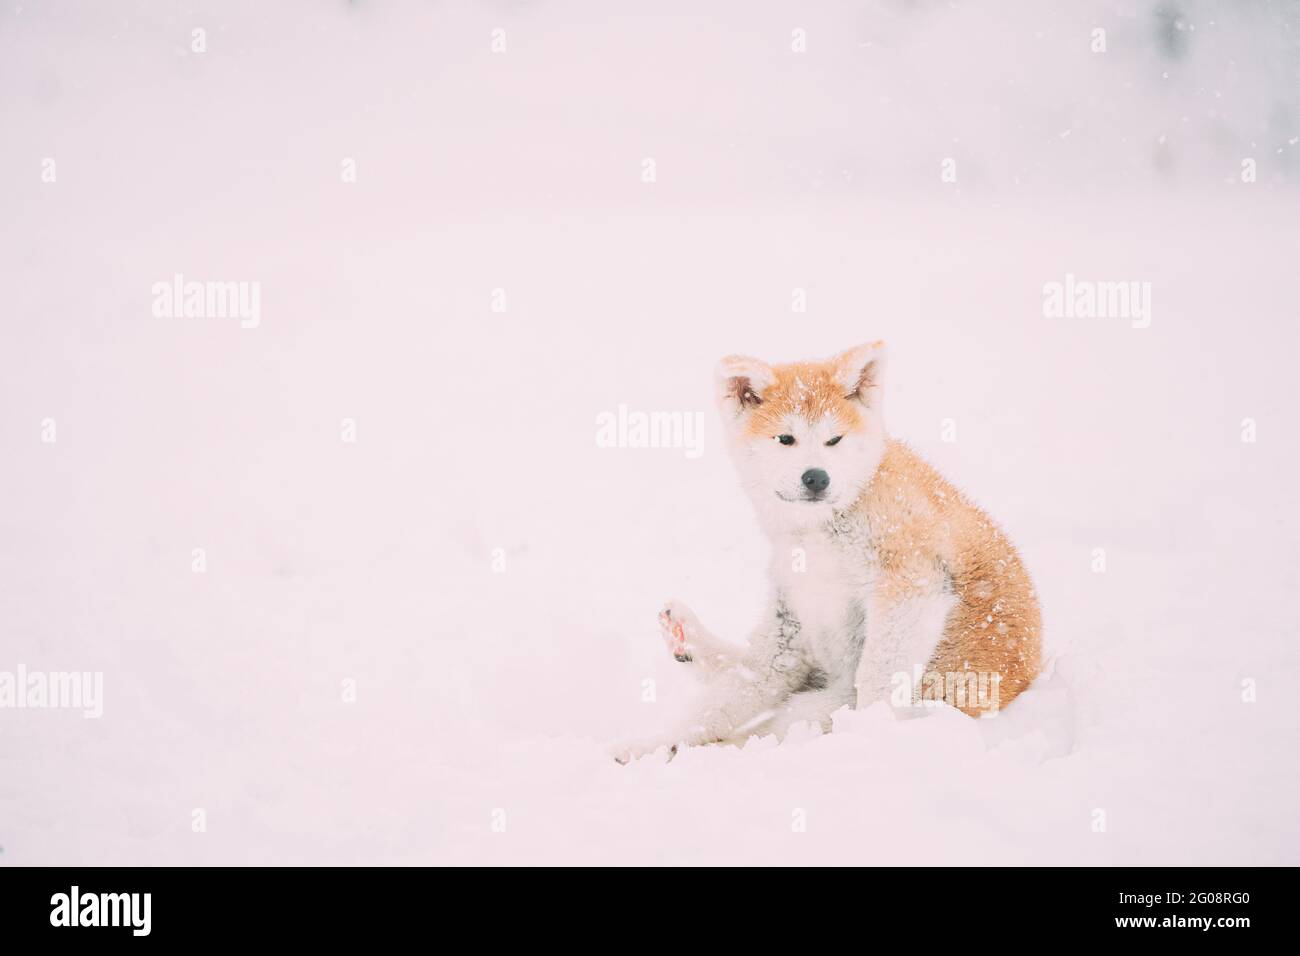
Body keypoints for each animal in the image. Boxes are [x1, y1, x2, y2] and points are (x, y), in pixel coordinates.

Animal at [616, 343, 1034, 764]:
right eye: (786, 439)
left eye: (835, 440)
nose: (816, 477)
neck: (822, 530)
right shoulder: (790, 624)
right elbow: (723, 699)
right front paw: (647, 745)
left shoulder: (912, 586)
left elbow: (876, 682)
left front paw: (870, 734)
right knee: (742, 681)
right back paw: (684, 642)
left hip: (838, 700)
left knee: (769, 724)